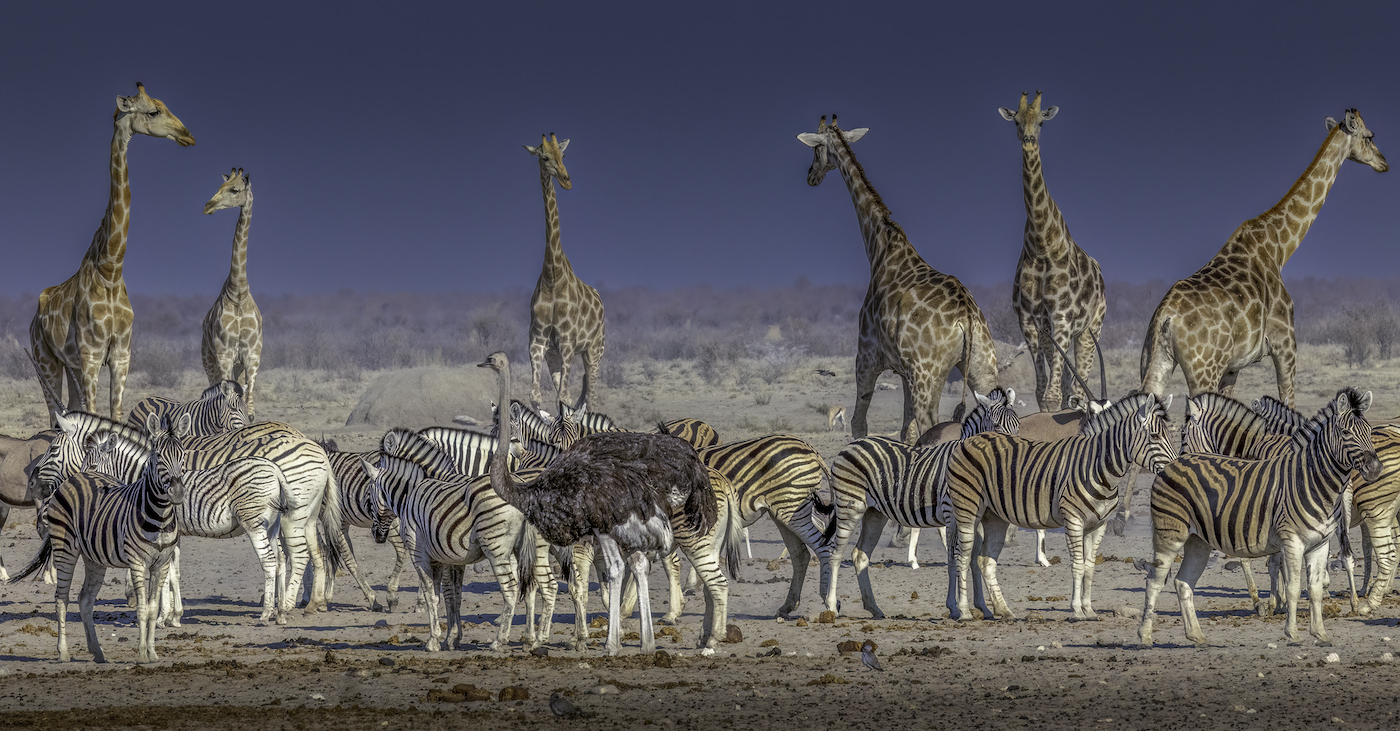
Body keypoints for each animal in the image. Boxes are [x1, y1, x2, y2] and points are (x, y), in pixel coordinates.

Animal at [30, 83, 195, 426]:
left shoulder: (121, 354)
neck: (111, 268)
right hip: (45, 361)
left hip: (70, 364)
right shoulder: (92, 355)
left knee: (70, 407)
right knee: (54, 415)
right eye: (153, 111)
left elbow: (115, 414)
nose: (187, 135)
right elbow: (95, 416)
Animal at [523, 133, 606, 413]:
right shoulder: (539, 342)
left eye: (564, 155)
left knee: (591, 397)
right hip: (556, 354)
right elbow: (537, 397)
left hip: (595, 350)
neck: (553, 274)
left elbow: (564, 397)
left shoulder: (568, 341)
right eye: (544, 157)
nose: (566, 180)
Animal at [798, 115, 1000, 443]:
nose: (810, 176)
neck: (880, 247)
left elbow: (859, 424)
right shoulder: (904, 372)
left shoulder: (866, 356)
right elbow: (906, 430)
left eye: (815, 150)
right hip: (983, 367)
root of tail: (967, 318)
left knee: (931, 424)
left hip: (927, 374)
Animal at [1001, 91, 1106, 413]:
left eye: (1042, 122)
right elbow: (1043, 391)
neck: (1041, 244)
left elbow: (1053, 395)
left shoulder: (1061, 314)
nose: (1028, 140)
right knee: (1068, 379)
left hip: (1091, 328)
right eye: (1016, 121)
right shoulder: (1029, 318)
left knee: (1081, 380)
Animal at [1140, 109, 1388, 407]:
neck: (1279, 247)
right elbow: (1288, 402)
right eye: (1370, 136)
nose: (1384, 163)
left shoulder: (1232, 367)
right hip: (1203, 370)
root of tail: (1166, 317)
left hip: (1154, 359)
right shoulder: (1286, 344)